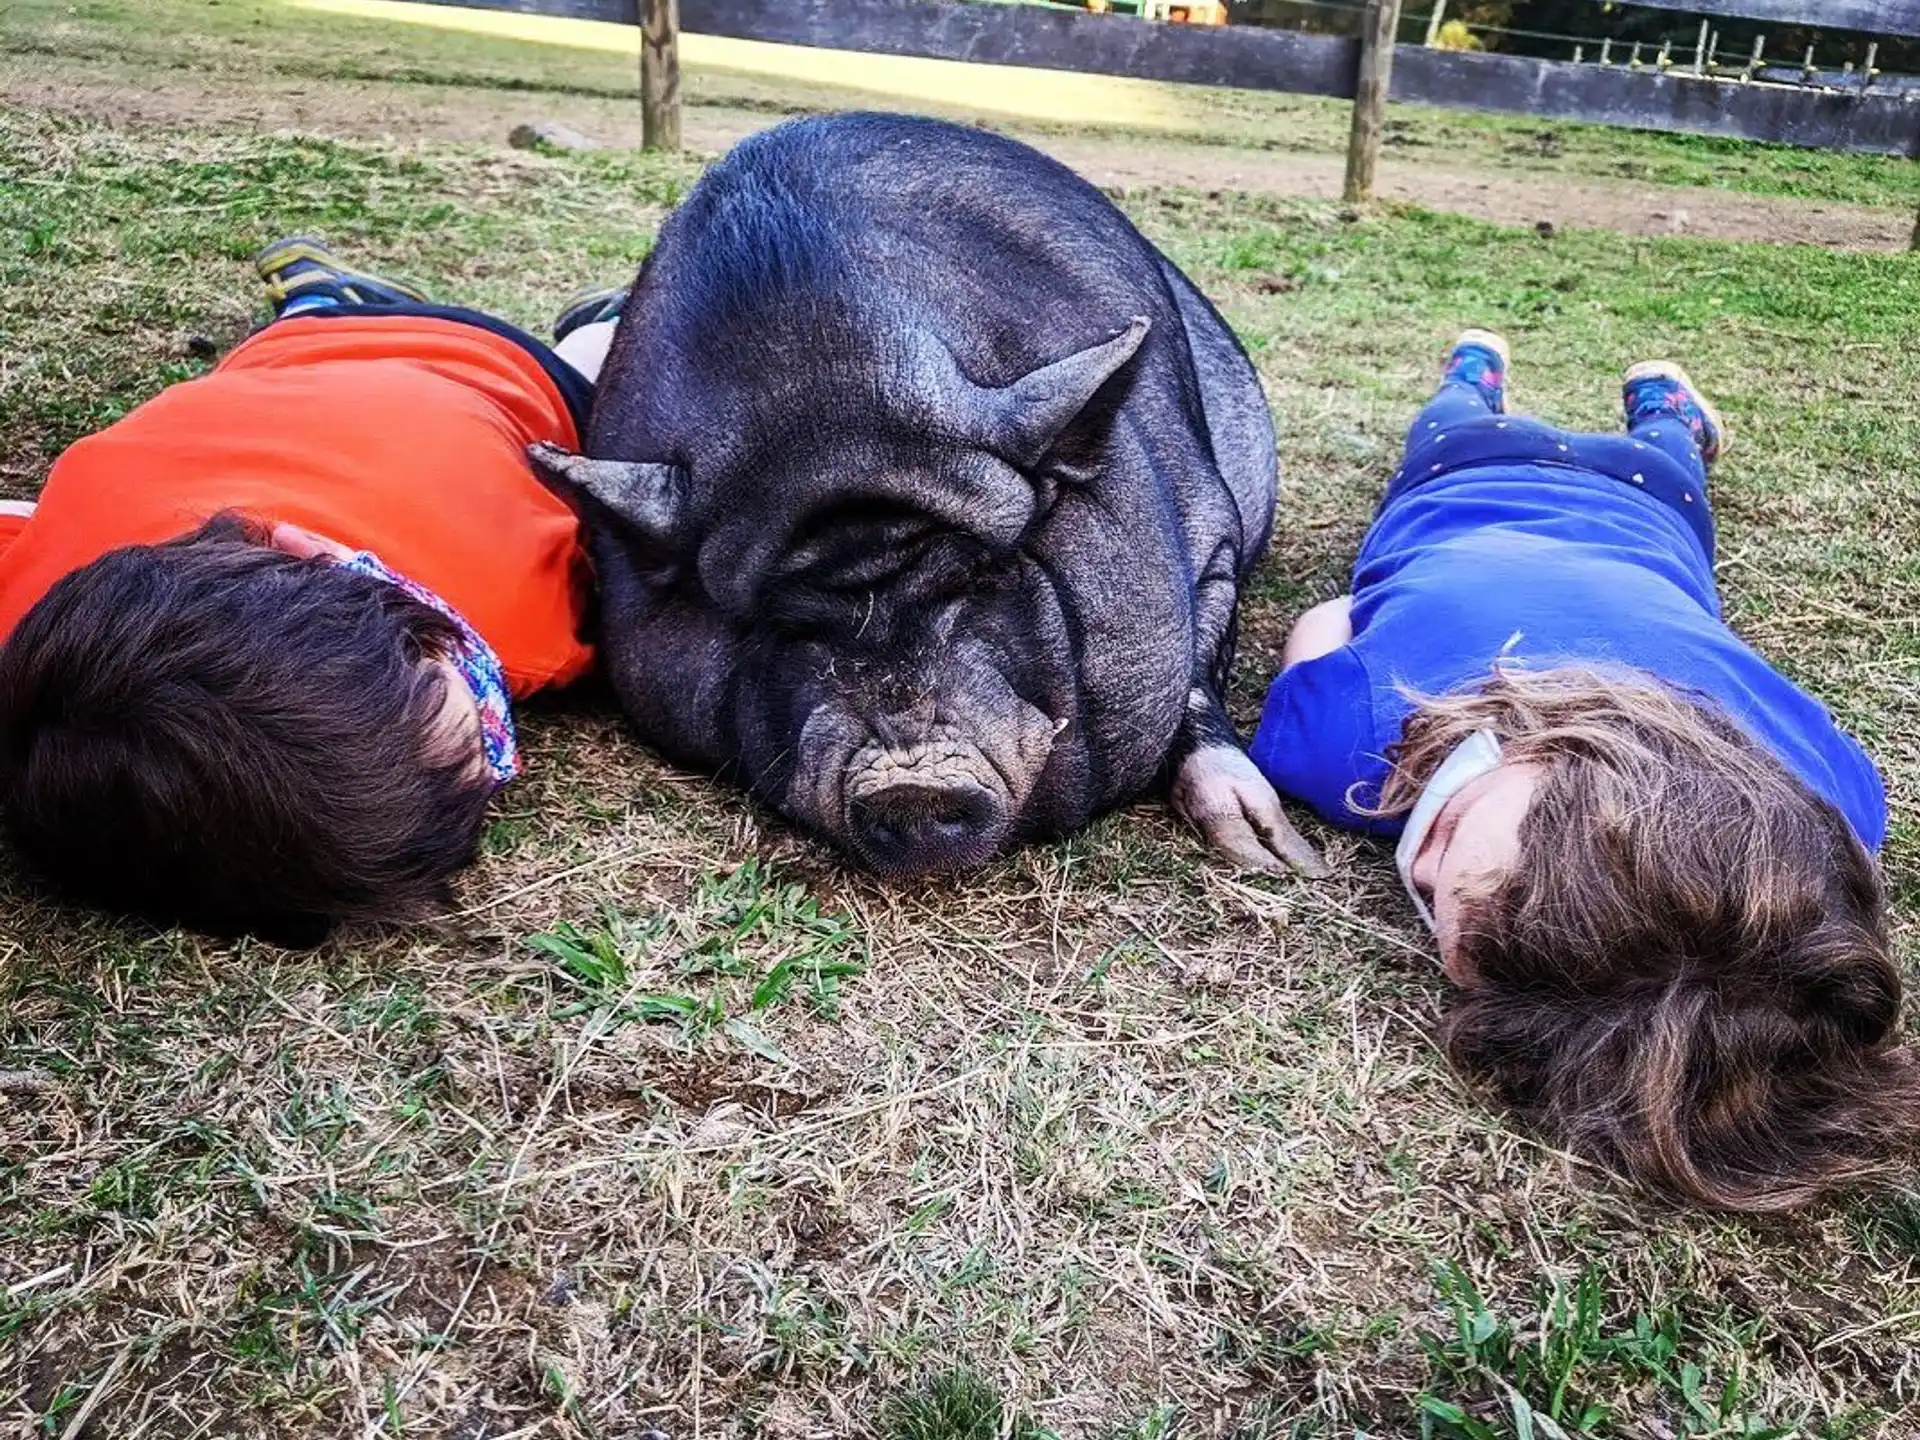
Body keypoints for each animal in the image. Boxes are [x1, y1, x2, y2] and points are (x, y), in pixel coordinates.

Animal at [533, 112, 1323, 879]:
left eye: (981, 576)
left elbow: (1197, 671)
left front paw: (1275, 856)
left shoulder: (1213, 535)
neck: (831, 404)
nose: (910, 785)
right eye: (785, 625)